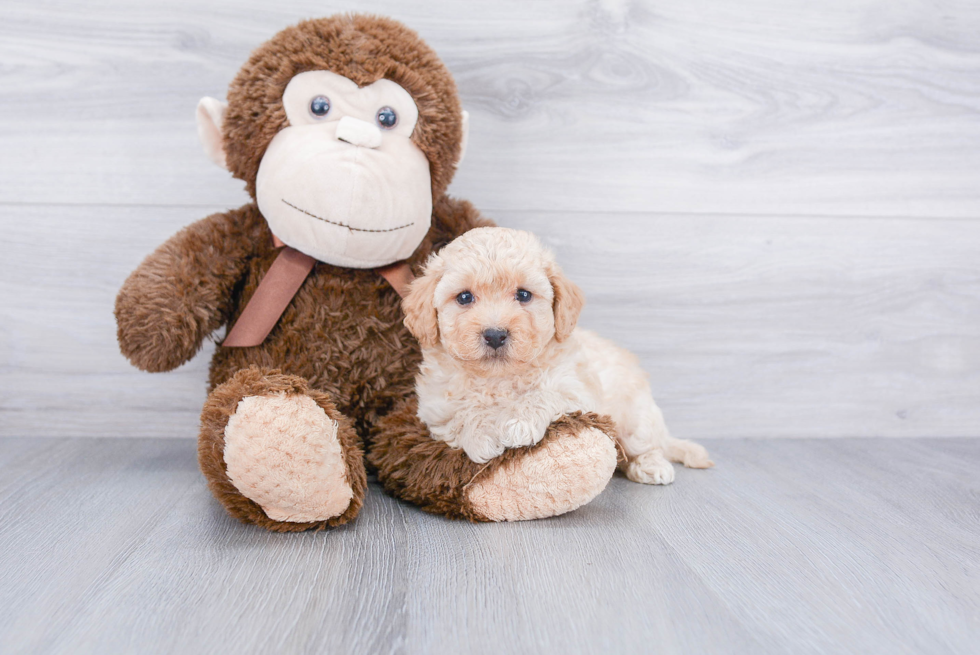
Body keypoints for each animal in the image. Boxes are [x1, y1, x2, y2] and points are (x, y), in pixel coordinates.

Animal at [402, 228, 716, 484]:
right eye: (464, 298)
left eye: (524, 295)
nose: (495, 335)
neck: (498, 378)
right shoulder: (436, 410)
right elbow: (463, 413)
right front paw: (481, 434)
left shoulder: (577, 391)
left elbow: (545, 394)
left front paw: (518, 422)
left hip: (636, 417)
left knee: (647, 446)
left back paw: (651, 466)